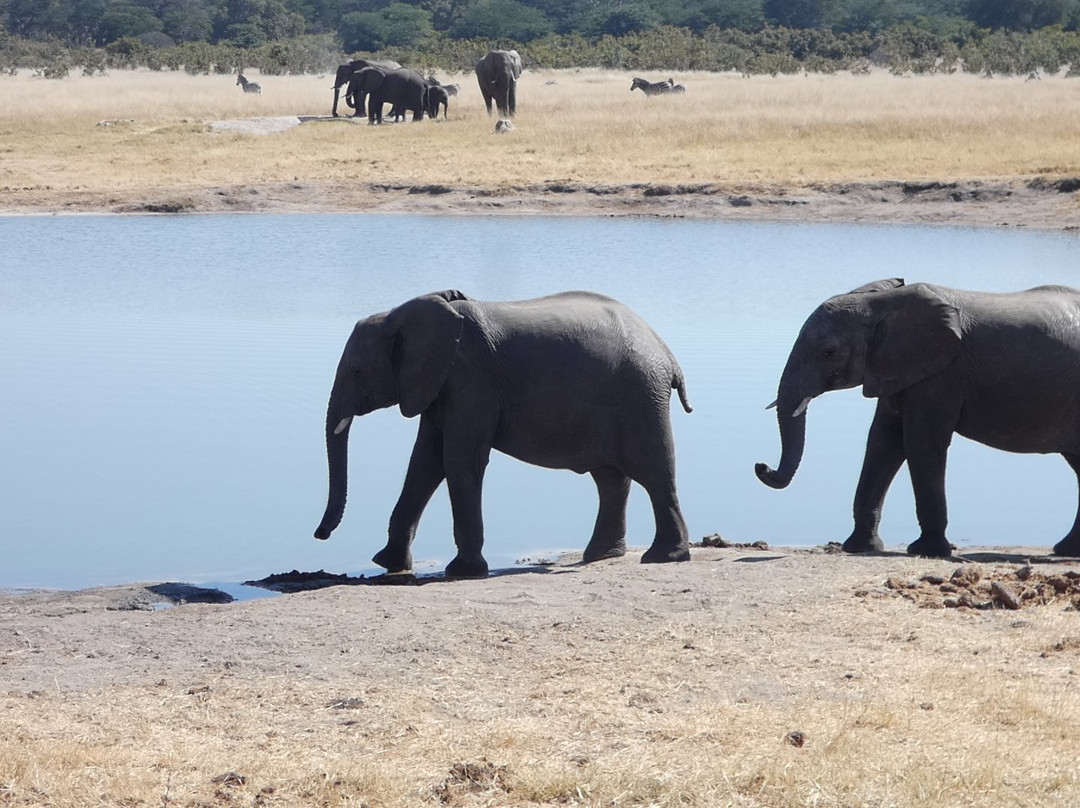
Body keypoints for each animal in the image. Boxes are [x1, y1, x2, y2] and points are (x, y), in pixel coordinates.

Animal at [313, 290, 693, 578]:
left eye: (357, 370)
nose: (320, 534)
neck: (400, 313)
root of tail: (667, 353)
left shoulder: (470, 380)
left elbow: (458, 460)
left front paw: (463, 572)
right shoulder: (438, 385)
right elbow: (425, 462)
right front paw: (388, 564)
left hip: (640, 396)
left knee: (653, 472)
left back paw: (663, 557)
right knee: (610, 479)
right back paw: (601, 555)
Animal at [755, 278, 1080, 559]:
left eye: (828, 352)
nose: (762, 466)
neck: (882, 302)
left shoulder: (940, 375)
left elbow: (919, 443)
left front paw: (928, 551)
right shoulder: (896, 370)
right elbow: (882, 442)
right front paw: (859, 547)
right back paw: (1066, 550)